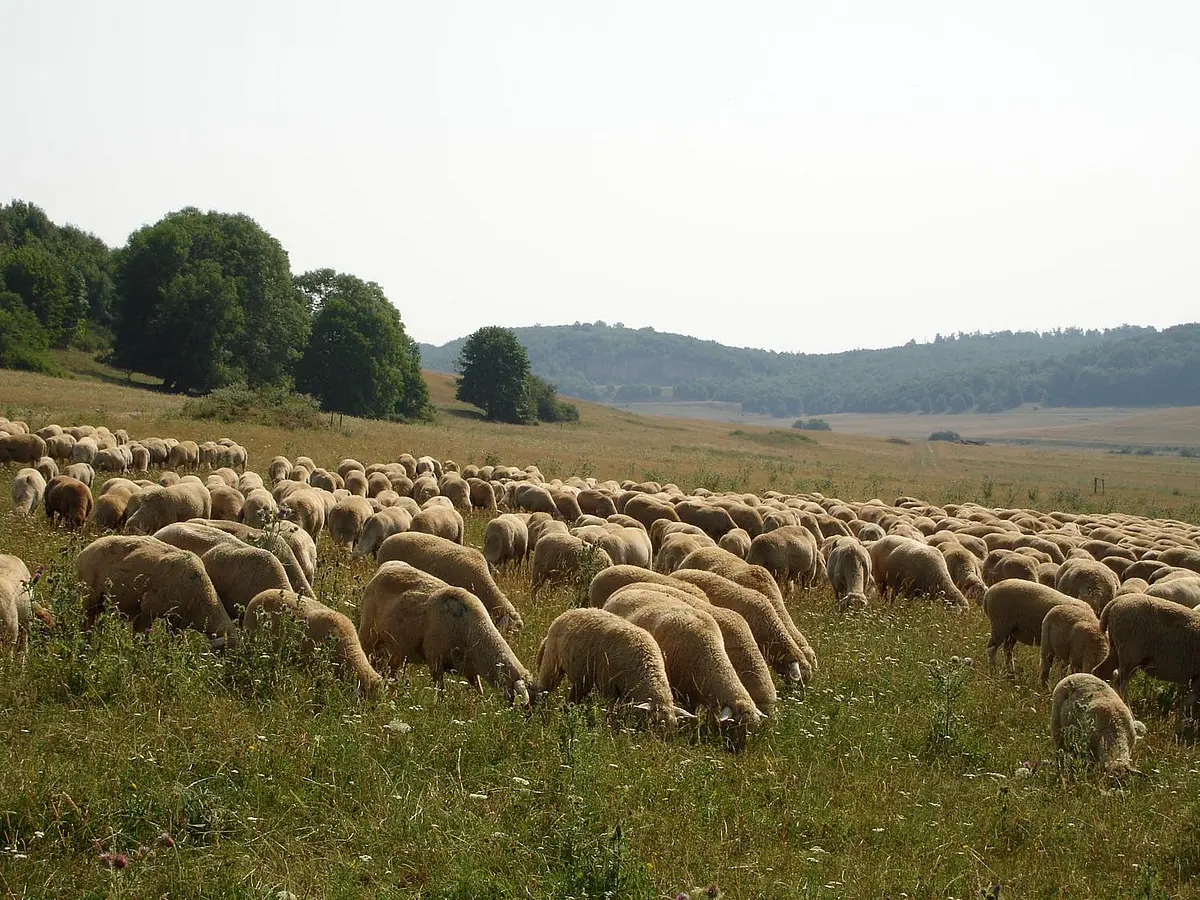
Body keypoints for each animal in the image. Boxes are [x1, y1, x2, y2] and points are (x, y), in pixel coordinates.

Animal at [75, 535, 237, 645]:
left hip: (100, 601)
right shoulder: (148, 610)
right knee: (86, 622)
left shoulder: (176, 619)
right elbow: (142, 637)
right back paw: (86, 643)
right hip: (89, 596)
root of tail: (85, 550)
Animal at [359, 574, 530, 703]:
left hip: (394, 649)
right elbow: (440, 692)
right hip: (368, 634)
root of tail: (382, 571)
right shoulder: (436, 660)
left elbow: (479, 690)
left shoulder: (469, 670)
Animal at [534, 607, 680, 728]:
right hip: (552, 663)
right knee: (544, 690)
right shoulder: (609, 687)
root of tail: (569, 611)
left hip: (583, 678)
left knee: (573, 699)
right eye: (653, 723)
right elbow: (612, 712)